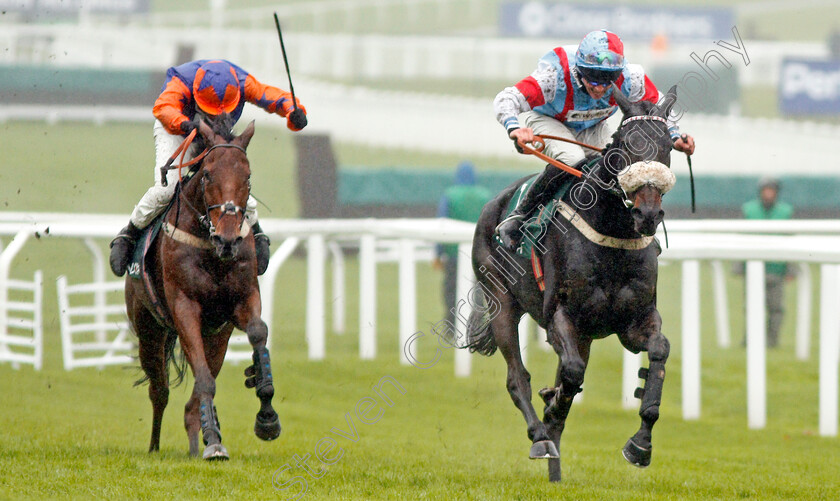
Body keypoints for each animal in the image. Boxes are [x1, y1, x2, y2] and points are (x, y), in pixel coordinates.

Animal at [124, 118, 280, 460]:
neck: (211, 250)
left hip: (218, 337)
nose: (228, 238)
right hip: (149, 331)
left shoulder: (243, 299)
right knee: (160, 391)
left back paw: (204, 441)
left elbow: (258, 334)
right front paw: (214, 439)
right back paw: (157, 447)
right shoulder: (184, 309)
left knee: (192, 396)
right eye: (207, 174)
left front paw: (266, 415)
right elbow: (203, 381)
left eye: (248, 176)